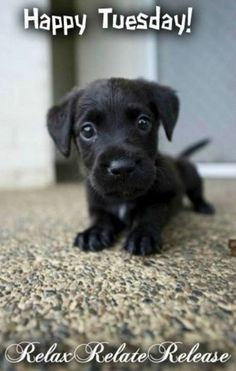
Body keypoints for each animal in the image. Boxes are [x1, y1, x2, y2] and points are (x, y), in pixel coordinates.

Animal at [47, 78, 215, 256]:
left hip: (192, 176)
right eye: (87, 130)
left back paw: (205, 207)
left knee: (197, 194)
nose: (122, 168)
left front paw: (142, 235)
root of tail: (179, 157)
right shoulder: (96, 204)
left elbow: (149, 213)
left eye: (143, 122)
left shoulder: (163, 198)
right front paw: (94, 232)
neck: (123, 198)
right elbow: (101, 217)